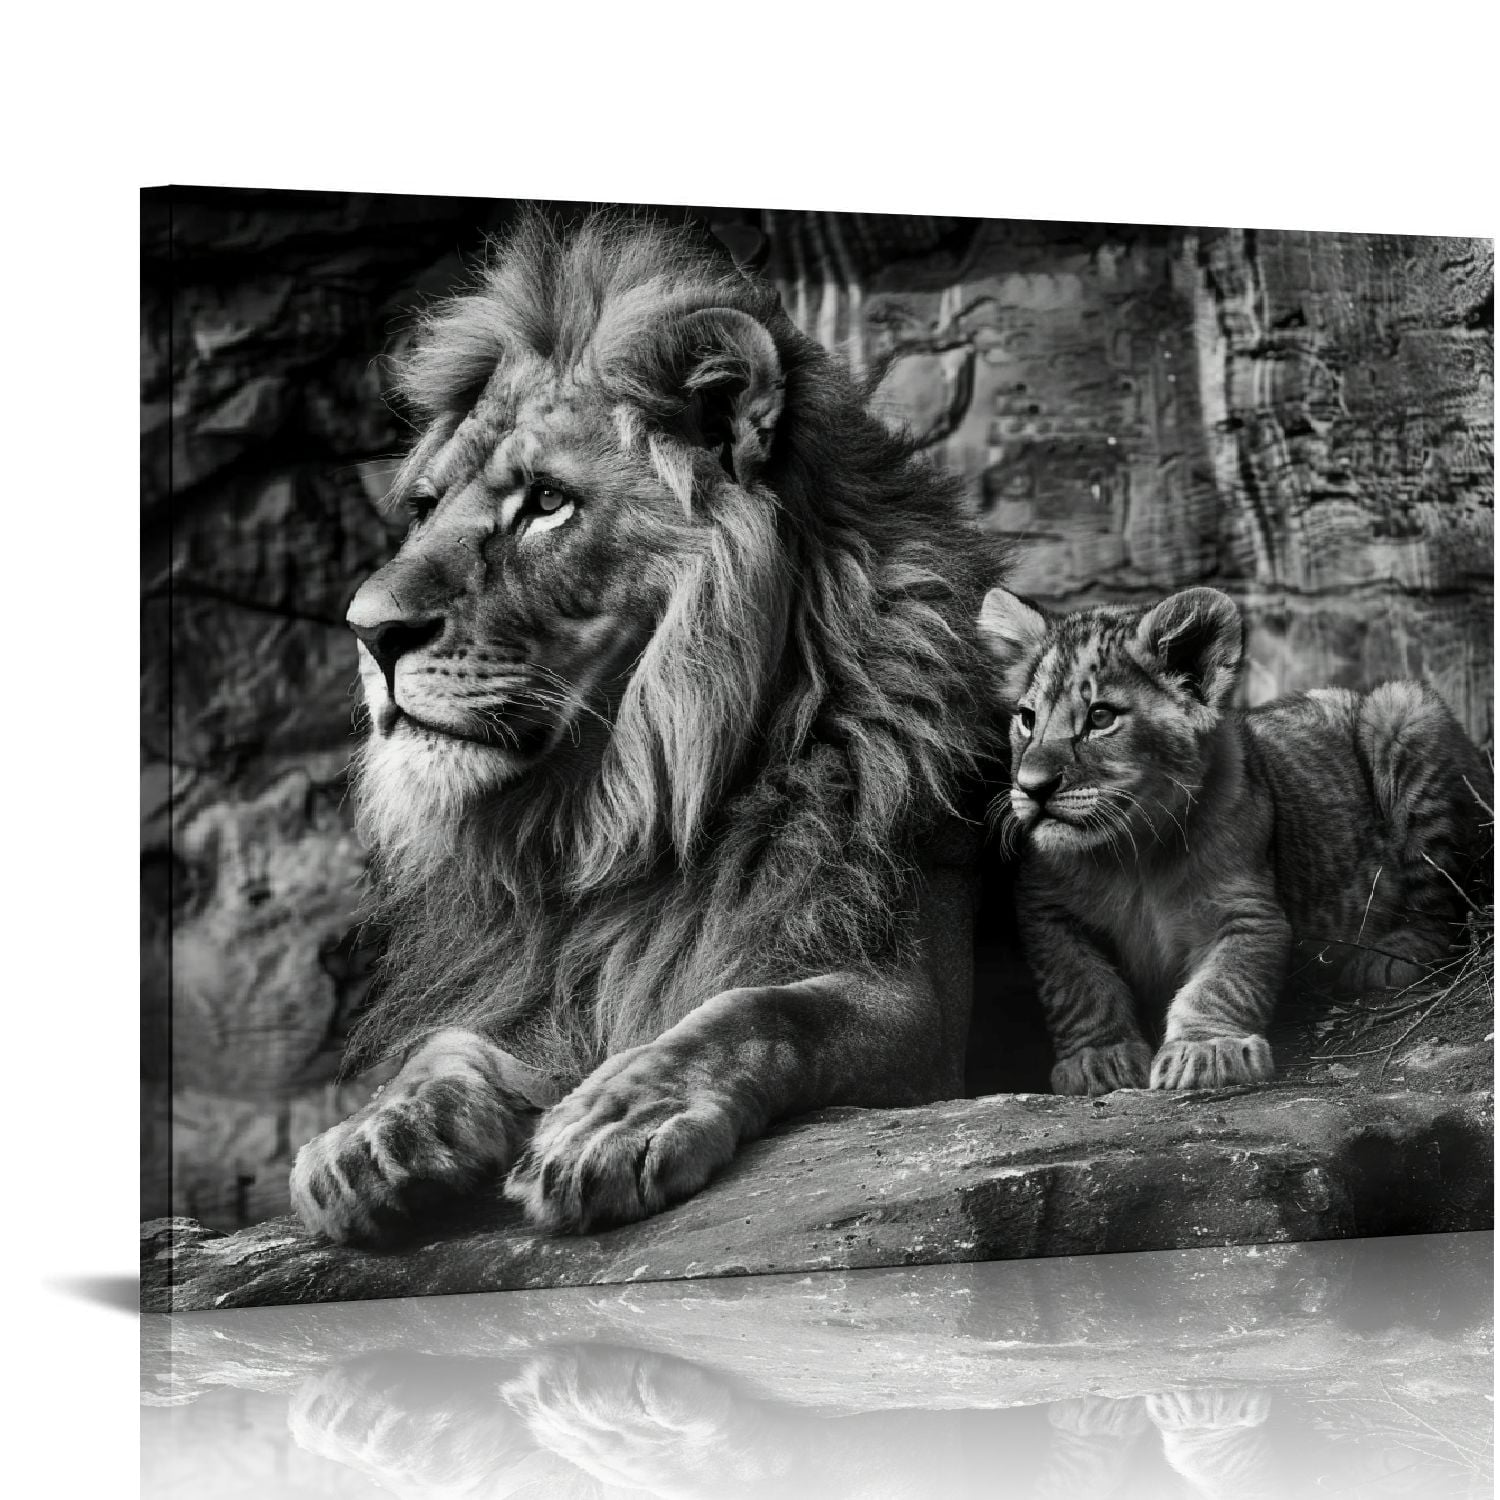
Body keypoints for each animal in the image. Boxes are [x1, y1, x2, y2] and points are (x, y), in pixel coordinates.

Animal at [288, 210, 1007, 1243]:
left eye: (547, 501)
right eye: (423, 509)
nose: (369, 630)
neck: (621, 810)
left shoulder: (923, 1013)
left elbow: (759, 1011)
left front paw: (618, 1118)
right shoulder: (549, 992)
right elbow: (448, 1044)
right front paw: (374, 1133)